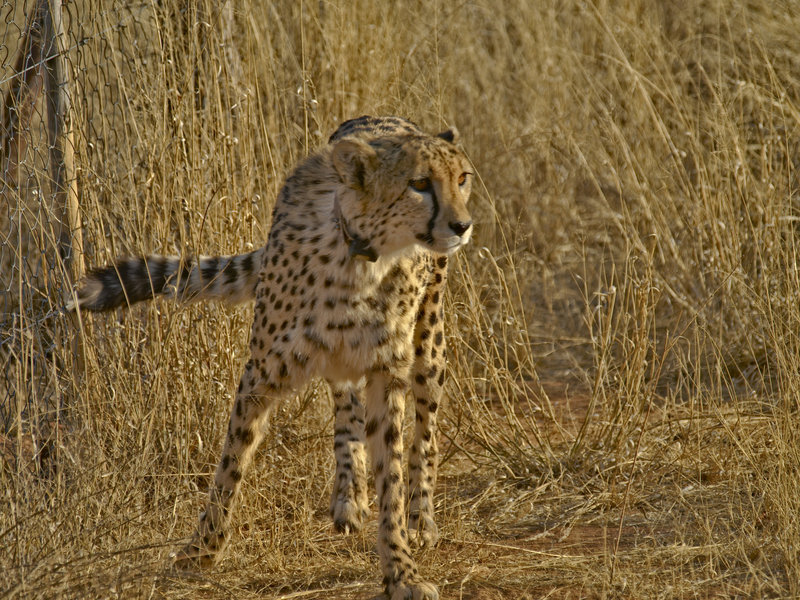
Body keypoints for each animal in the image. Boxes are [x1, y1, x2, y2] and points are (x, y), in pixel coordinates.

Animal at [71, 115, 473, 600]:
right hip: (345, 363)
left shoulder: (387, 372)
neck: (362, 258)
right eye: (419, 184)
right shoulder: (260, 373)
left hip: (428, 345)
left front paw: (401, 569)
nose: (462, 225)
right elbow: (230, 464)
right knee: (346, 407)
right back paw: (348, 497)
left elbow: (392, 475)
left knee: (425, 434)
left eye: (462, 179)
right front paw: (201, 550)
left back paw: (421, 518)